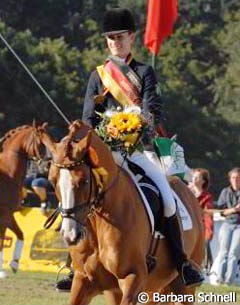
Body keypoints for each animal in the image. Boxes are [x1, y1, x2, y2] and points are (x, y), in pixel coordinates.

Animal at [0, 123, 48, 276]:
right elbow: (2, 239)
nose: (47, 166)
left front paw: (14, 264)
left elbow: (20, 234)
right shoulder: (4, 214)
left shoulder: (8, 214)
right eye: (40, 142)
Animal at [44, 121, 203, 304]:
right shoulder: (83, 280)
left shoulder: (133, 277)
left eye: (84, 181)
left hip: (183, 289)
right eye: (52, 181)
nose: (70, 235)